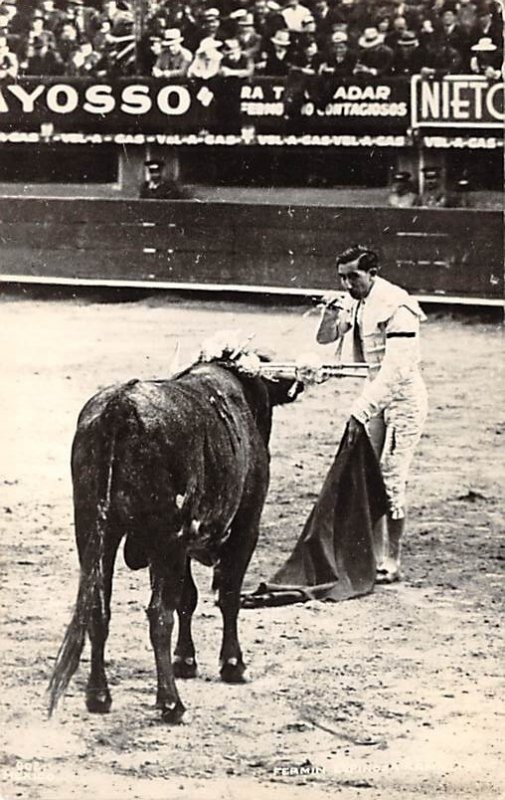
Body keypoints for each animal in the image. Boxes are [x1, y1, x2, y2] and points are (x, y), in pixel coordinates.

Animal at [47, 346, 302, 720]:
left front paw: (186, 660)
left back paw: (99, 696)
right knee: (158, 615)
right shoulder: (243, 528)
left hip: (96, 532)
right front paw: (232, 664)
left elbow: (188, 598)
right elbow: (226, 595)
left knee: (98, 607)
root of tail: (120, 406)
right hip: (164, 537)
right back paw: (170, 702)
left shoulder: (180, 547)